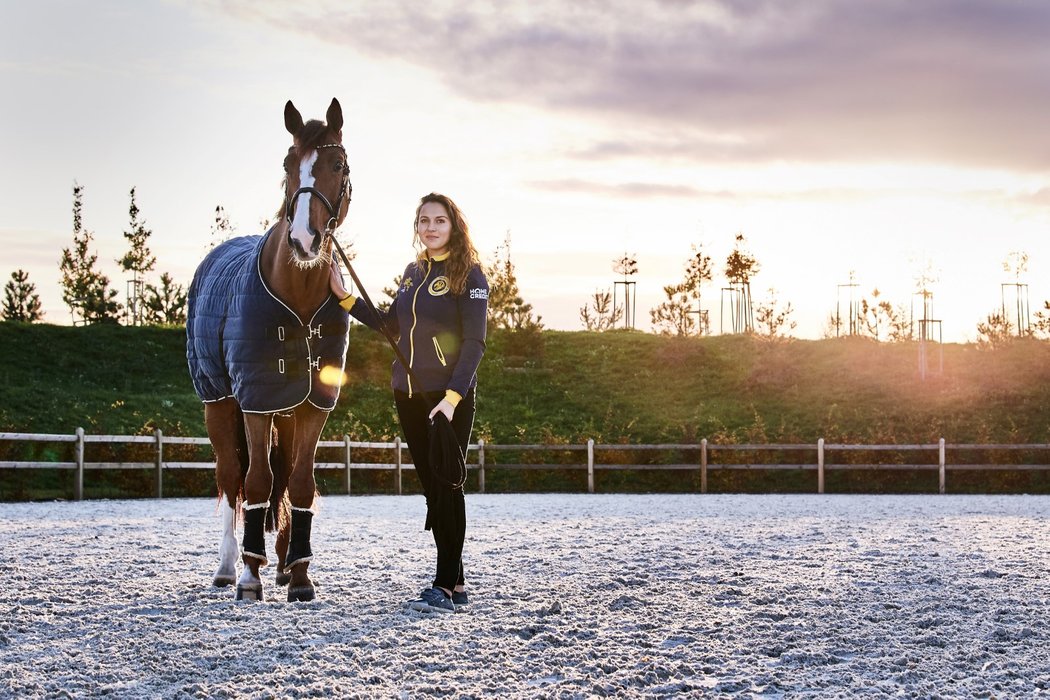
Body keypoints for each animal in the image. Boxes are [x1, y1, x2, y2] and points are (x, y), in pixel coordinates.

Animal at [185, 98, 352, 604]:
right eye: (287, 164)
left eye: (338, 165)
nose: (304, 239)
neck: (296, 292)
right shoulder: (255, 401)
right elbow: (255, 480)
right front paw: (249, 574)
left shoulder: (314, 403)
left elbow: (299, 483)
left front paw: (299, 574)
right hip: (219, 400)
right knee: (231, 476)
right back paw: (228, 566)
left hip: (285, 408)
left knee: (280, 476)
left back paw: (280, 562)